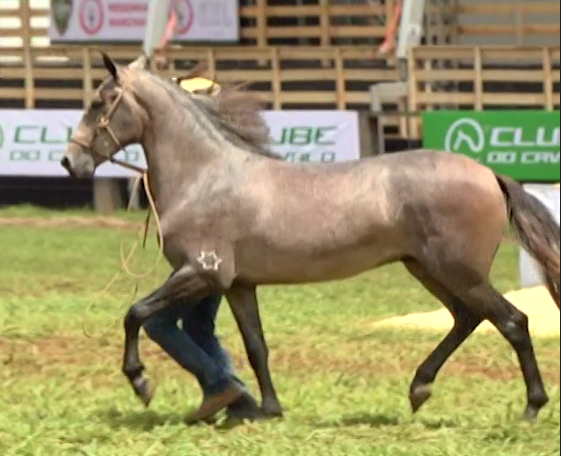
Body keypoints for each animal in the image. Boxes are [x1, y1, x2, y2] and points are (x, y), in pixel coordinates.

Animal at [61, 53, 560, 424]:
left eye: (101, 101)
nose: (70, 162)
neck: (205, 176)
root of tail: (490, 174)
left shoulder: (201, 273)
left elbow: (135, 313)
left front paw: (141, 382)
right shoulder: (237, 285)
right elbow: (256, 346)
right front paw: (266, 409)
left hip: (458, 271)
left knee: (512, 322)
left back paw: (530, 408)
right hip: (427, 268)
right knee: (466, 318)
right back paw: (419, 389)